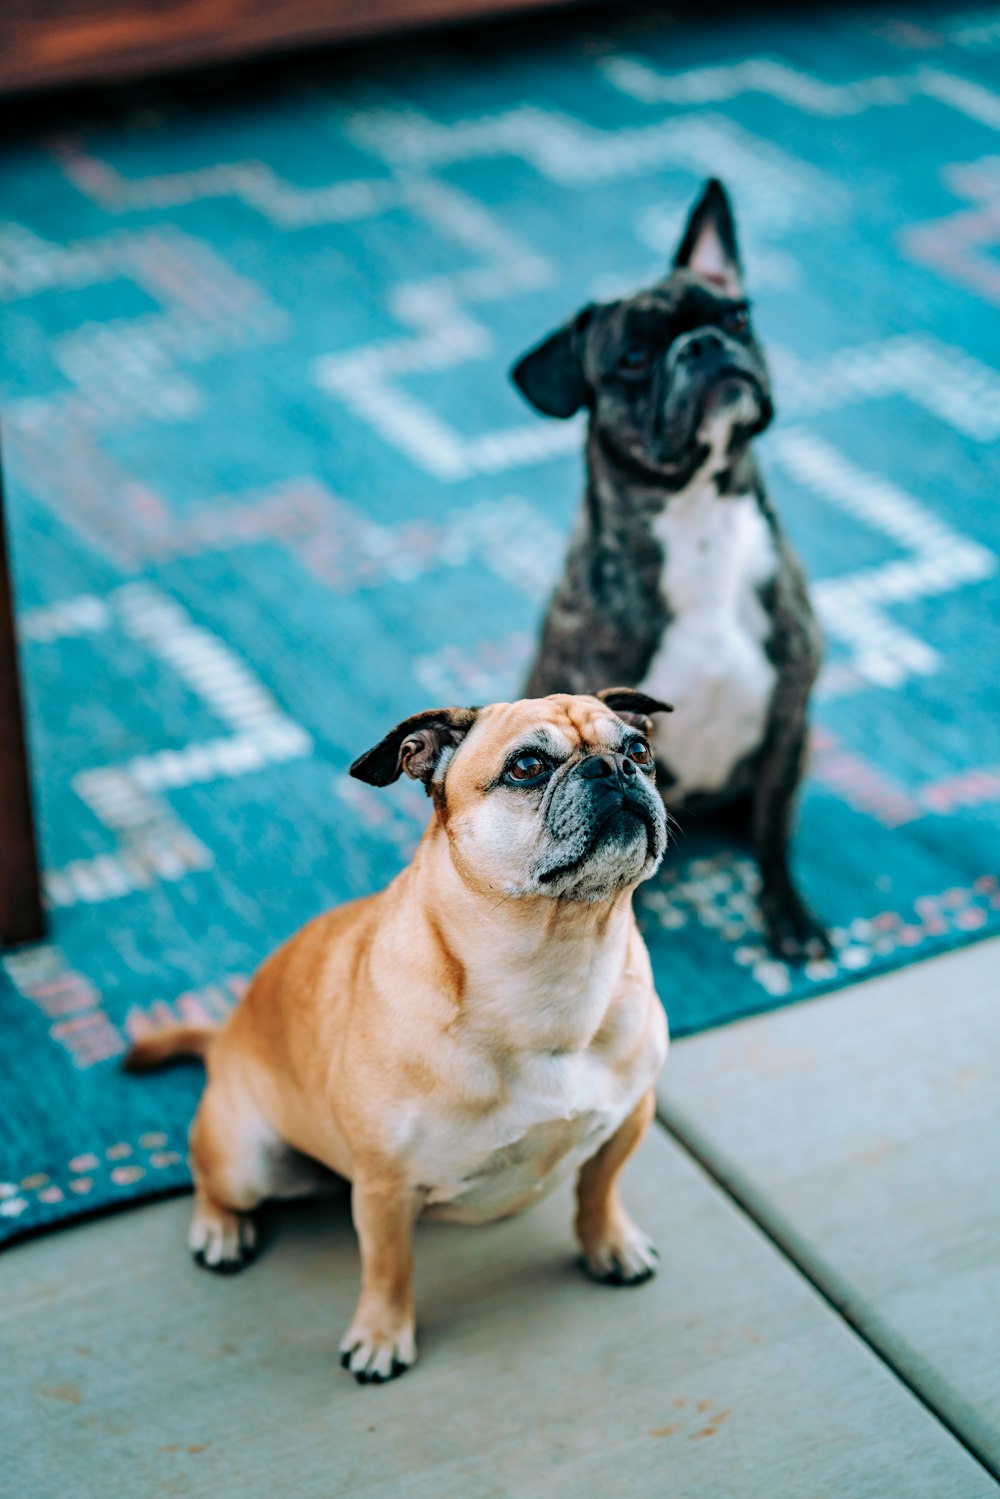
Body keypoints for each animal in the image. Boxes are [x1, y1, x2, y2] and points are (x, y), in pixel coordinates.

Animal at [127, 686, 671, 1379]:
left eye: (641, 748)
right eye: (526, 767)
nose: (617, 768)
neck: (557, 963)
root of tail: (224, 1038)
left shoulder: (628, 1118)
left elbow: (599, 1191)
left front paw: (610, 1244)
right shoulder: (385, 1187)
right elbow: (389, 1266)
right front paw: (382, 1335)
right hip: (248, 1161)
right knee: (208, 1177)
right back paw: (220, 1229)